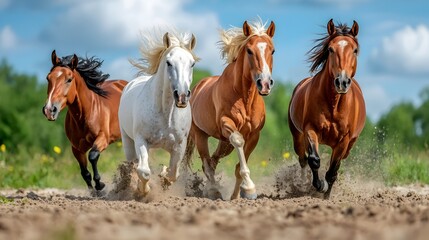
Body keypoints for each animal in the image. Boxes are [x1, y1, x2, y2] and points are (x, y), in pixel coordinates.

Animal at [41, 50, 127, 191]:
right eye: (48, 78)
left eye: (69, 79)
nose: (49, 110)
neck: (84, 115)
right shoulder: (76, 148)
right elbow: (84, 172)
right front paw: (93, 190)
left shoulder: (103, 139)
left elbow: (92, 156)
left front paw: (100, 184)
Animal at [118, 30, 196, 195]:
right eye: (169, 62)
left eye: (192, 63)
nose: (182, 96)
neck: (165, 114)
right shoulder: (141, 140)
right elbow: (144, 171)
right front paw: (143, 191)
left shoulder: (180, 145)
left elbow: (174, 173)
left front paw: (164, 176)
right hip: (128, 142)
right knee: (134, 165)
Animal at [183, 19, 274, 200]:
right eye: (249, 50)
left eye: (273, 50)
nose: (265, 83)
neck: (244, 97)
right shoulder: (228, 124)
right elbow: (239, 142)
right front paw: (249, 188)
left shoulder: (254, 135)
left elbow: (239, 168)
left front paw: (241, 194)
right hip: (200, 135)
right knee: (207, 163)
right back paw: (213, 191)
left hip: (224, 143)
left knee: (213, 160)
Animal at [288, 19, 364, 199]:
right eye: (330, 49)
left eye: (355, 50)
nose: (342, 82)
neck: (334, 103)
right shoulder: (310, 130)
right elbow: (314, 160)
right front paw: (319, 186)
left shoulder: (344, 140)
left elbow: (333, 171)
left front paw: (326, 195)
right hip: (297, 136)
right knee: (303, 158)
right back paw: (302, 183)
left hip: (348, 145)